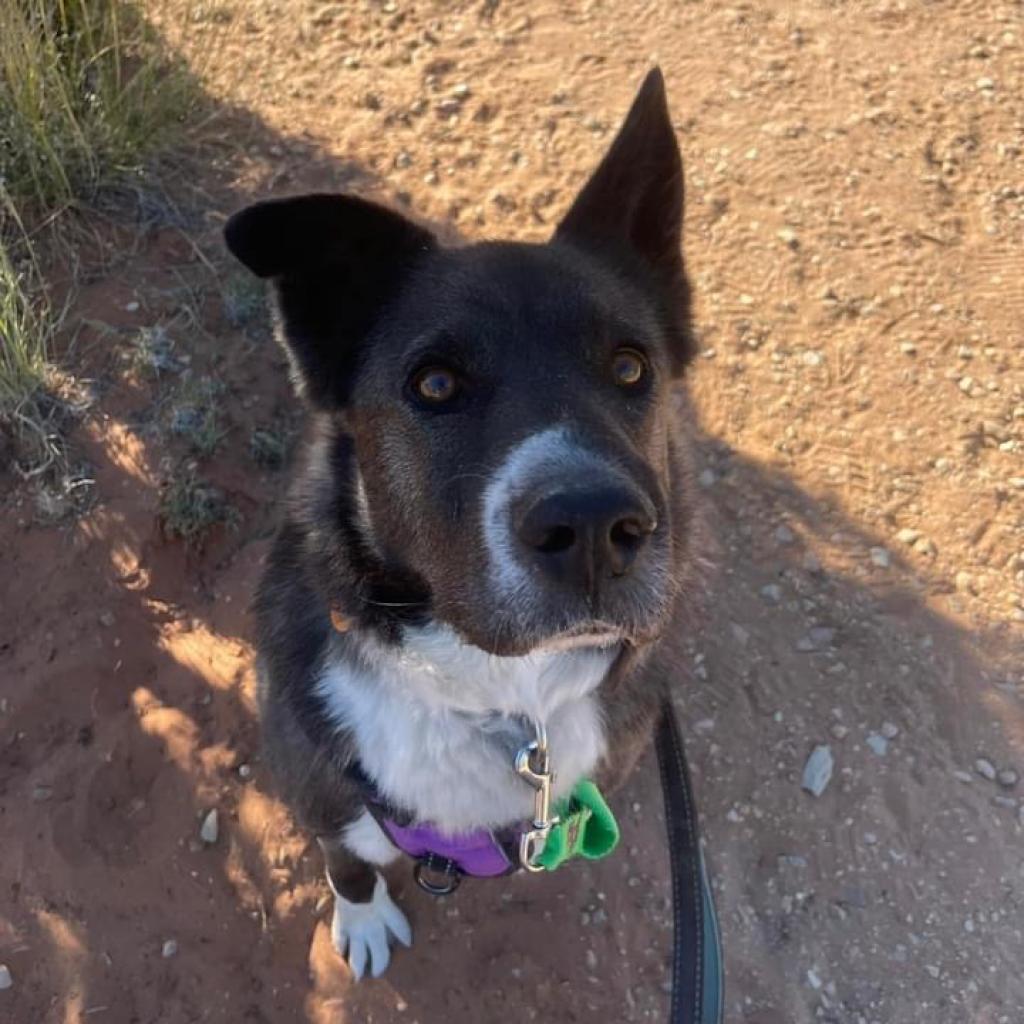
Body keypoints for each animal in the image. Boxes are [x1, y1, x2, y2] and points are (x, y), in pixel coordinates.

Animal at [223, 68, 704, 978]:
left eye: (631, 367)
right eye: (436, 384)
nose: (595, 526)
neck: (502, 696)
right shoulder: (320, 791)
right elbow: (348, 860)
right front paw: (364, 920)